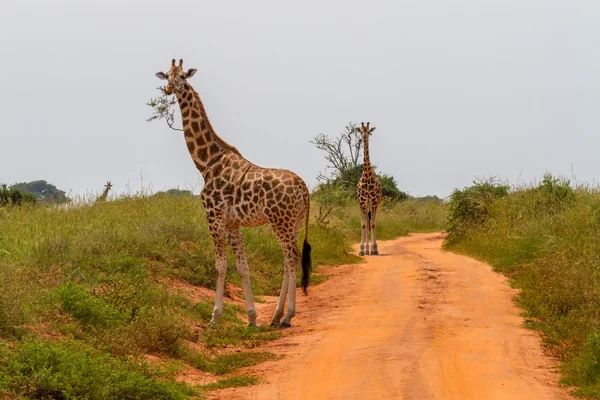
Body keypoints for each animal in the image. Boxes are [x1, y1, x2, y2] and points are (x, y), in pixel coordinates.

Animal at [155, 60, 312, 328]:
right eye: (167, 75)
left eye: (183, 77)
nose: (169, 88)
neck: (207, 162)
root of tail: (304, 188)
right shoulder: (233, 223)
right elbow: (242, 266)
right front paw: (251, 318)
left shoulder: (214, 217)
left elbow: (220, 265)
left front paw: (214, 317)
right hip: (294, 222)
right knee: (288, 259)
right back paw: (276, 316)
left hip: (280, 221)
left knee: (291, 257)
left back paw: (287, 316)